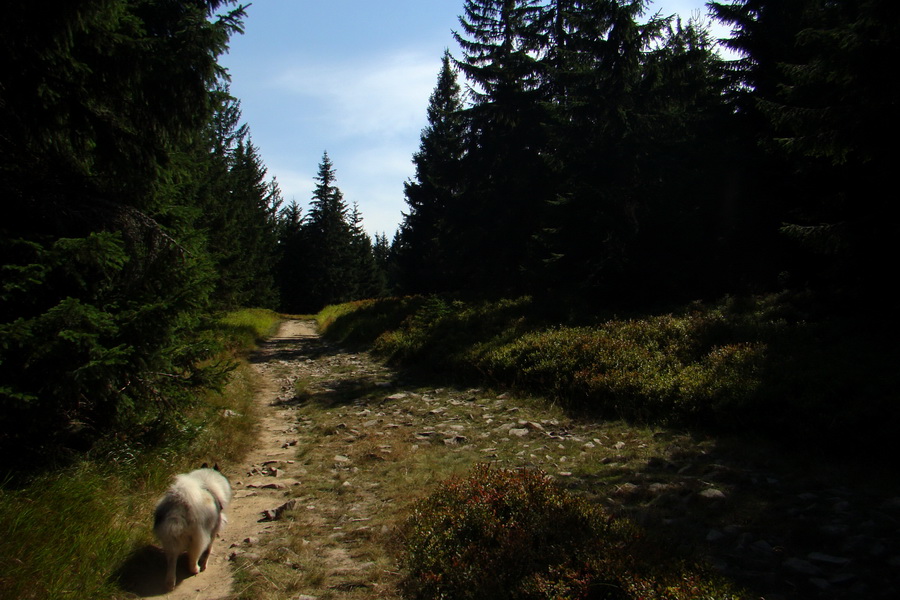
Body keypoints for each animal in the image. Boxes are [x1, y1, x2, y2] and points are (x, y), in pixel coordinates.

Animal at [154, 464, 232, 592]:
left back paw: (170, 583)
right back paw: (196, 569)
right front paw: (205, 565)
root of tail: (180, 504)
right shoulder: (213, 531)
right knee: (193, 557)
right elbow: (207, 551)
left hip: (170, 540)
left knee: (171, 561)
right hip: (198, 538)